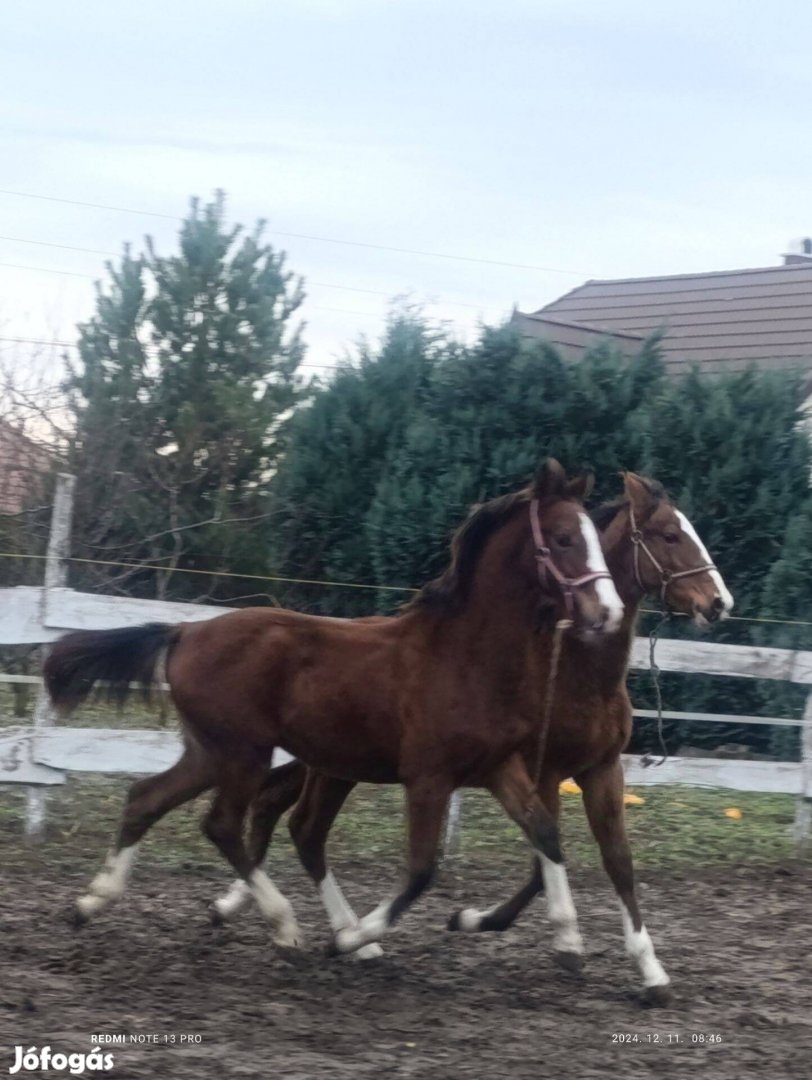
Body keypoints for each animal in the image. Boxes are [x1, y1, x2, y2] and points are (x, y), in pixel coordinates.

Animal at [44, 460, 621, 959]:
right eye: (565, 539)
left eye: (596, 538)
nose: (609, 613)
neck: (465, 656)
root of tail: (186, 630)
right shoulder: (429, 777)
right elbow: (420, 870)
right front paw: (350, 939)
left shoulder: (498, 766)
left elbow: (544, 832)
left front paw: (565, 940)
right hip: (243, 753)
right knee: (224, 824)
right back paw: (288, 927)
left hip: (212, 751)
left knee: (146, 799)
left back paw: (89, 903)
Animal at [212, 473, 734, 1002]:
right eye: (670, 535)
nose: (719, 603)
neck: (576, 673)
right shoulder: (544, 770)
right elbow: (544, 859)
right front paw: (531, 933)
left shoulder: (600, 770)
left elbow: (614, 860)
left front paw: (650, 972)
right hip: (332, 763)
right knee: (294, 820)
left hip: (336, 763)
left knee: (282, 810)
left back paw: (255, 911)